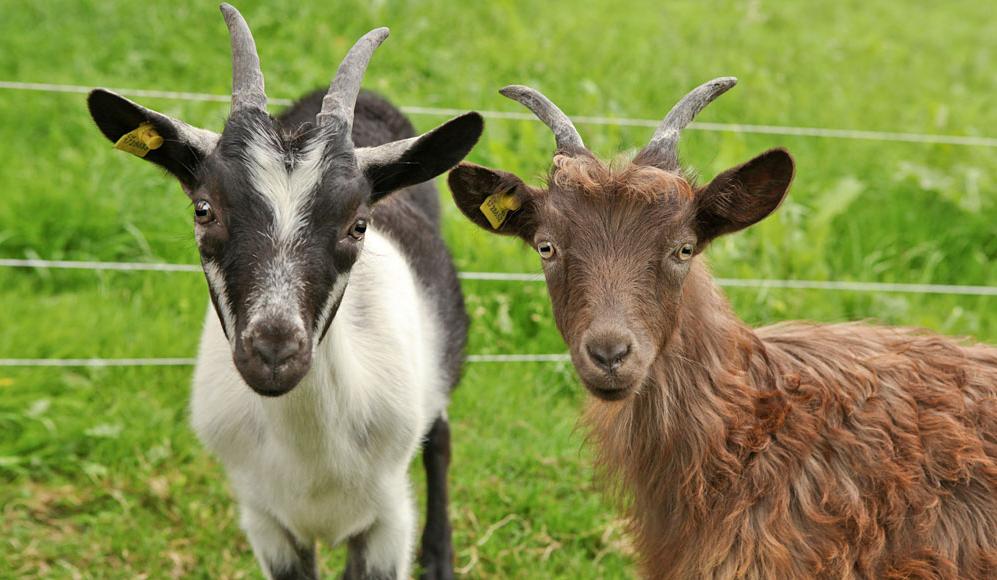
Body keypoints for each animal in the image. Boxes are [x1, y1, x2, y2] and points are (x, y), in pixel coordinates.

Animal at [85, 3, 482, 576]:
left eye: (358, 225)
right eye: (203, 209)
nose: (274, 351)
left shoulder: (388, 523)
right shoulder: (265, 521)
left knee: (441, 438)